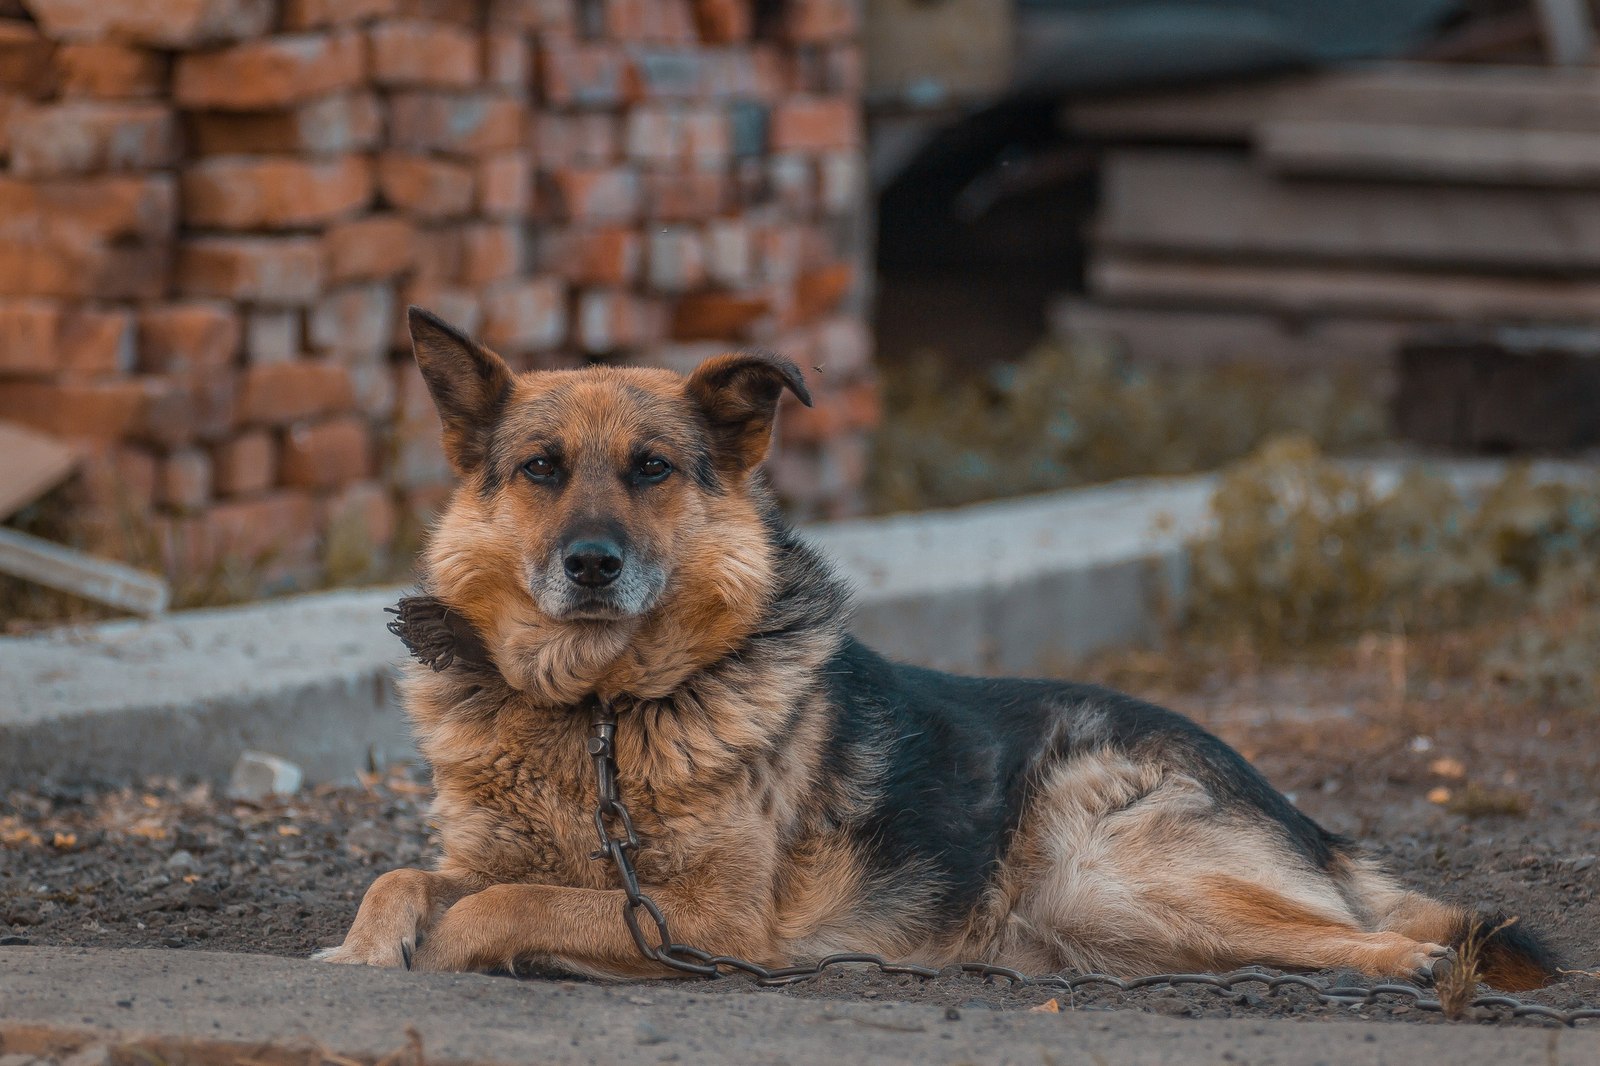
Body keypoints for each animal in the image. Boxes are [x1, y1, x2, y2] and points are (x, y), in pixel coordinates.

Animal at [315, 307, 1561, 985]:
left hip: (1123, 867)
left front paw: (450, 947)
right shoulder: (506, 858)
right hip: (1106, 917)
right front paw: (365, 948)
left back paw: (1410, 962)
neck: (601, 712)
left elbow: (495, 907)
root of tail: (1292, 809)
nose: (590, 564)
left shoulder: (706, 918)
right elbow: (404, 875)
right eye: (540, 469)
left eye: (651, 470)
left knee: (1355, 926)